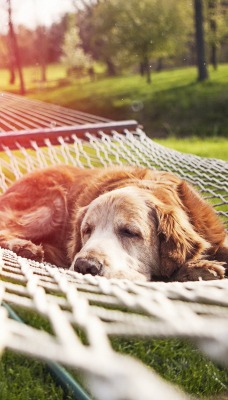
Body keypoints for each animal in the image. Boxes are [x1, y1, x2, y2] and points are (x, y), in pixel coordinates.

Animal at [0, 166, 226, 282]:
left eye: (129, 232)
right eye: (87, 230)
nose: (85, 266)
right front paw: (198, 268)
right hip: (52, 204)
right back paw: (24, 247)